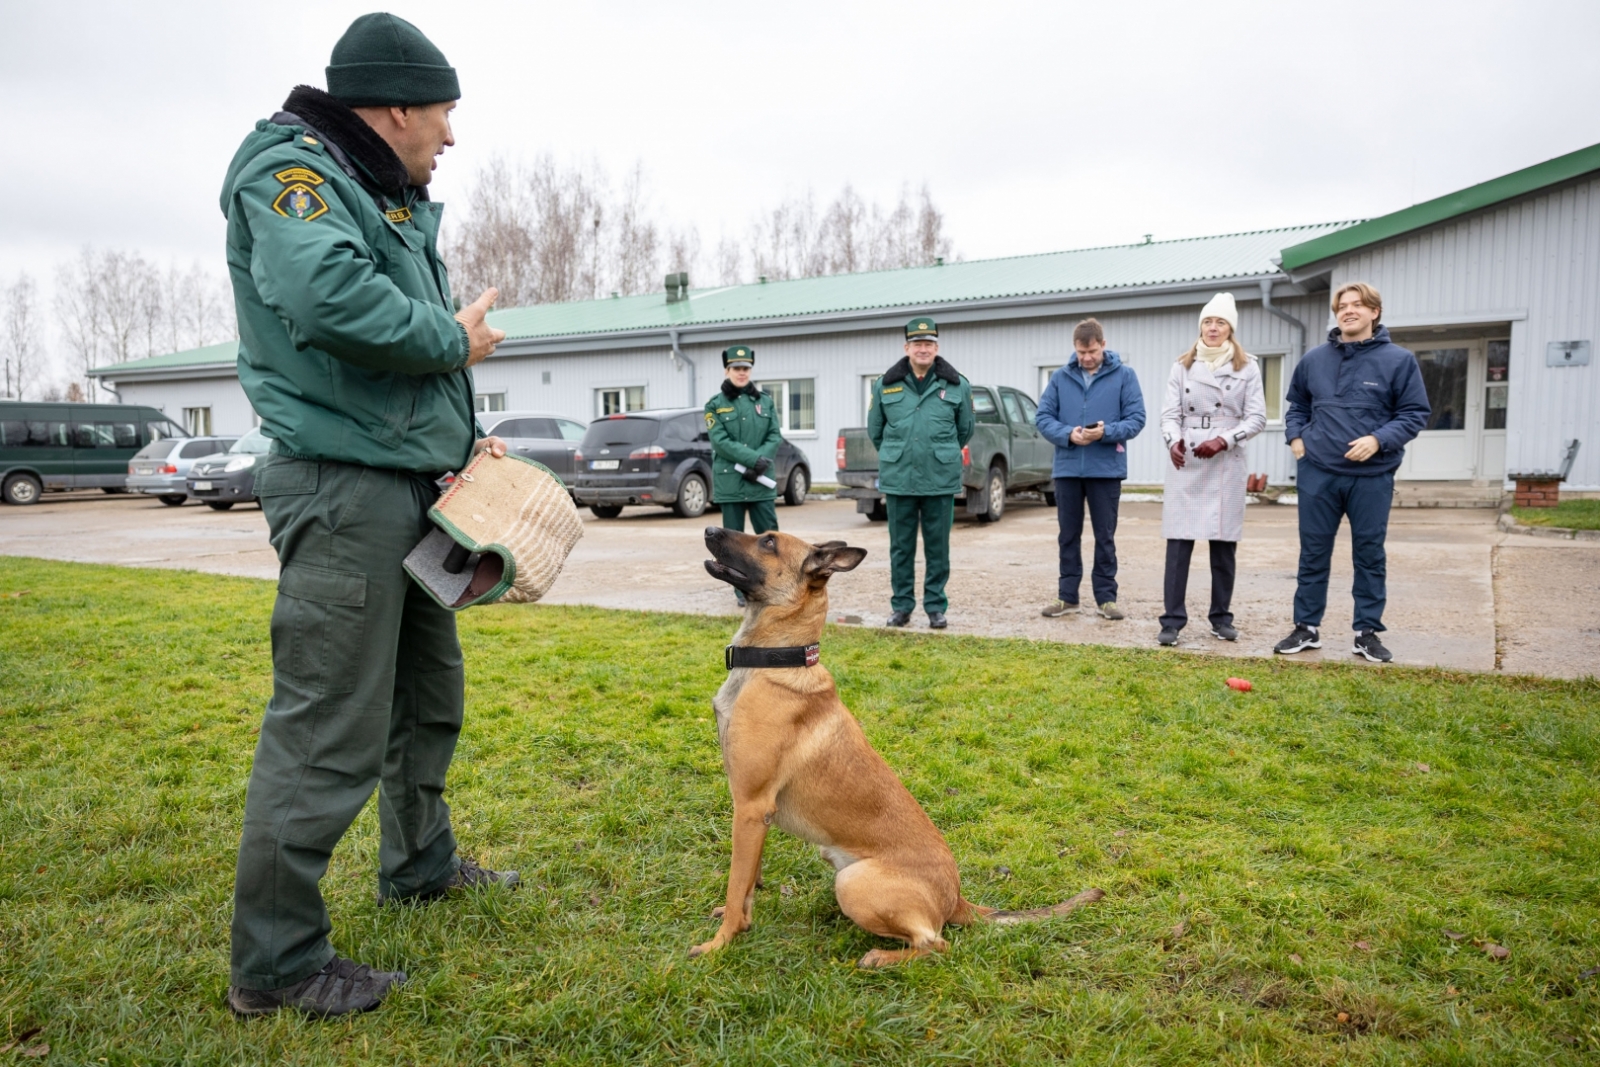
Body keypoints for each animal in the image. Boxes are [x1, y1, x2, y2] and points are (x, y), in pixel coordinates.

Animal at [694, 527, 1107, 966]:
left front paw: (719, 944)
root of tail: (956, 898)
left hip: (852, 883)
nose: (710, 529)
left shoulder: (751, 808)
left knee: (935, 943)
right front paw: (740, 922)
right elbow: (748, 881)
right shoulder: (756, 813)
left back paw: (880, 957)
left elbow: (737, 882)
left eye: (768, 541)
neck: (775, 661)